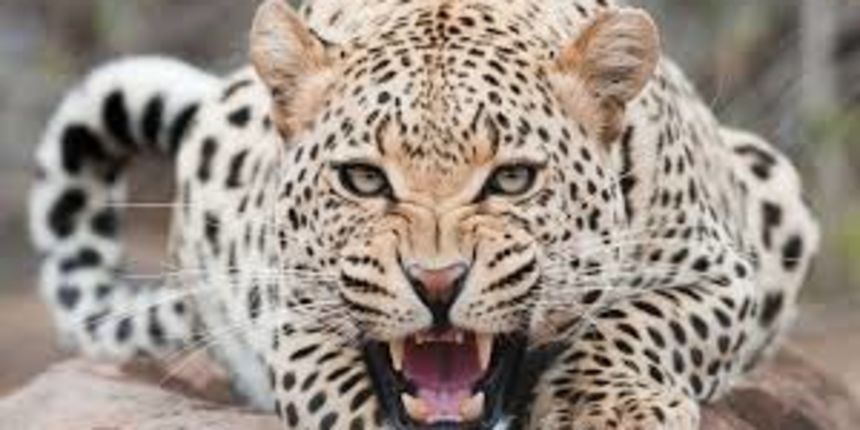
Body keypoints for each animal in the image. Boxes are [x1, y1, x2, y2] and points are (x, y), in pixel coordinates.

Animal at [29, 0, 820, 429]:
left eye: (512, 179)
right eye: (362, 179)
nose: (437, 283)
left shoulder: (723, 272)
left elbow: (638, 323)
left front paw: (608, 409)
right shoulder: (292, 311)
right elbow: (332, 386)